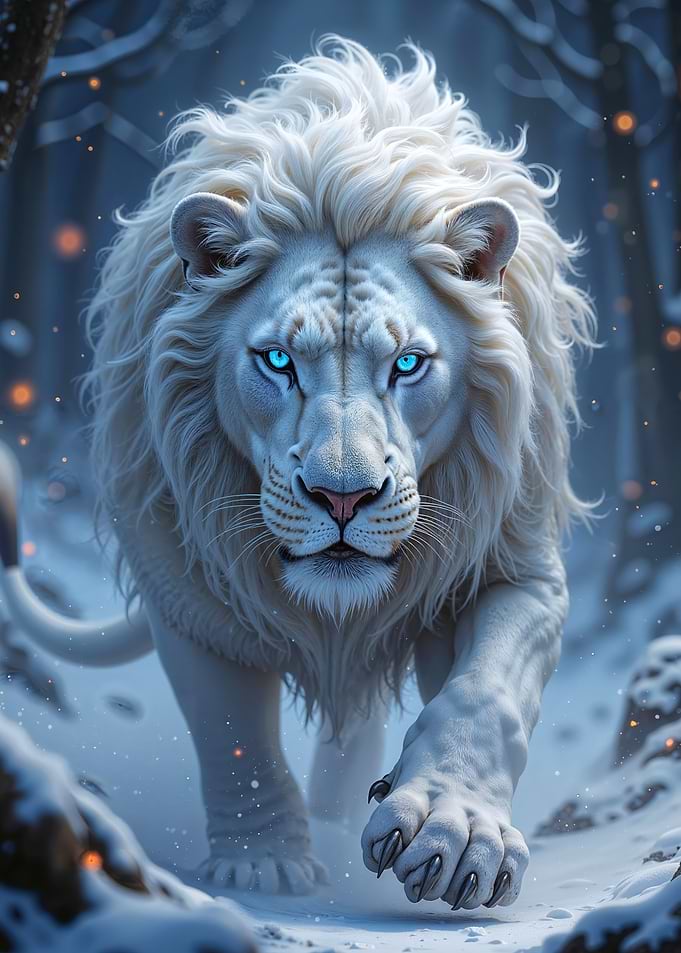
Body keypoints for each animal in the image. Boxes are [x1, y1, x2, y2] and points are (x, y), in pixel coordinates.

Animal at [0, 37, 595, 908]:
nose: (342, 496)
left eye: (408, 364)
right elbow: (230, 731)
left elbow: (485, 692)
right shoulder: (189, 586)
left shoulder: (515, 563)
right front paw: (264, 865)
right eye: (277, 360)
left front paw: (453, 834)